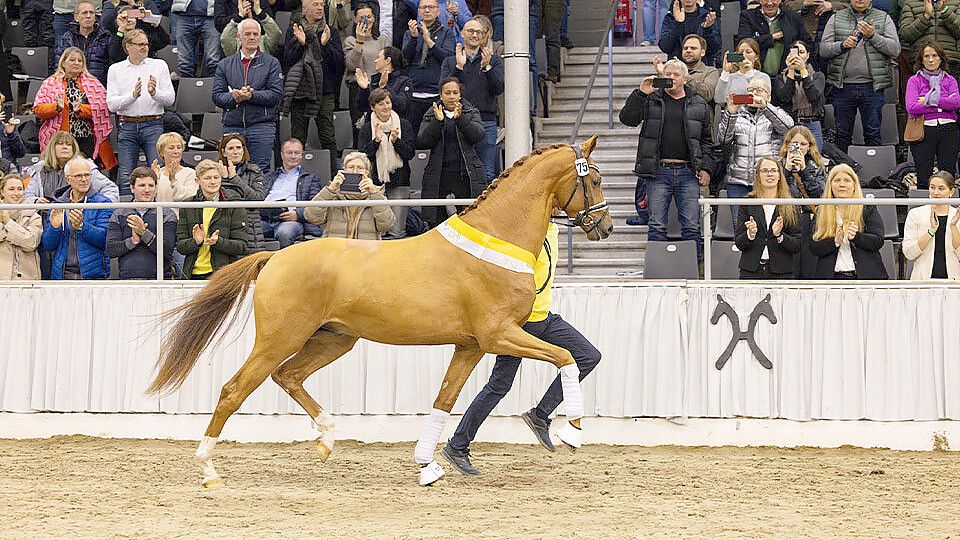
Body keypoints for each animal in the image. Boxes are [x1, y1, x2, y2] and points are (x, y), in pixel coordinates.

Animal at [146, 136, 612, 490]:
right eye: (595, 179)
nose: (604, 227)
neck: (495, 241)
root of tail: (274, 257)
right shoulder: (500, 334)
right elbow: (566, 358)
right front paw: (571, 432)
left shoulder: (471, 346)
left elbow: (445, 400)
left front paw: (427, 466)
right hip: (279, 338)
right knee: (234, 389)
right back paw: (209, 470)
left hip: (334, 340)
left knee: (289, 376)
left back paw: (327, 440)